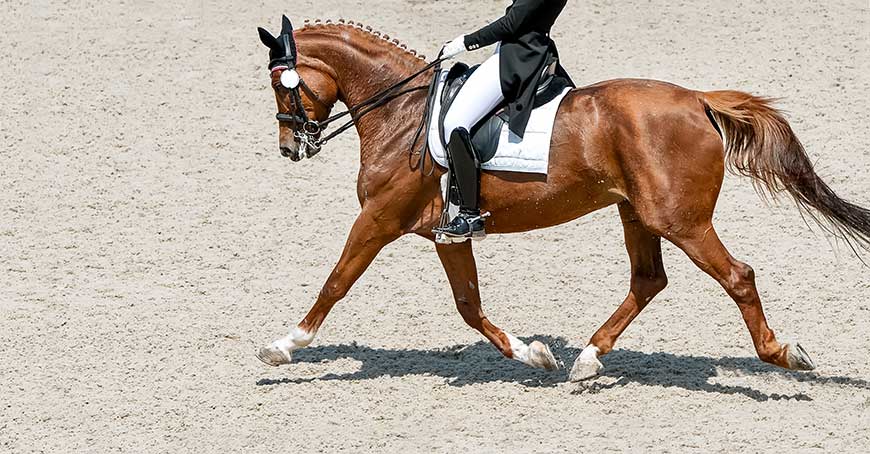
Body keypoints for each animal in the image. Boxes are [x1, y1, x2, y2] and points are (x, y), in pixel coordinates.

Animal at [254, 18, 870, 381]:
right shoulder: (446, 233)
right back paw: (588, 358)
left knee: (737, 275)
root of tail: (696, 98)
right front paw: (533, 353)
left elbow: (335, 282)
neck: (400, 112)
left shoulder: (379, 219)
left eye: (283, 86)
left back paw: (784, 355)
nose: (290, 147)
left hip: (680, 219)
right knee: (648, 280)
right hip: (637, 212)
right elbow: (469, 304)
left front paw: (284, 345)